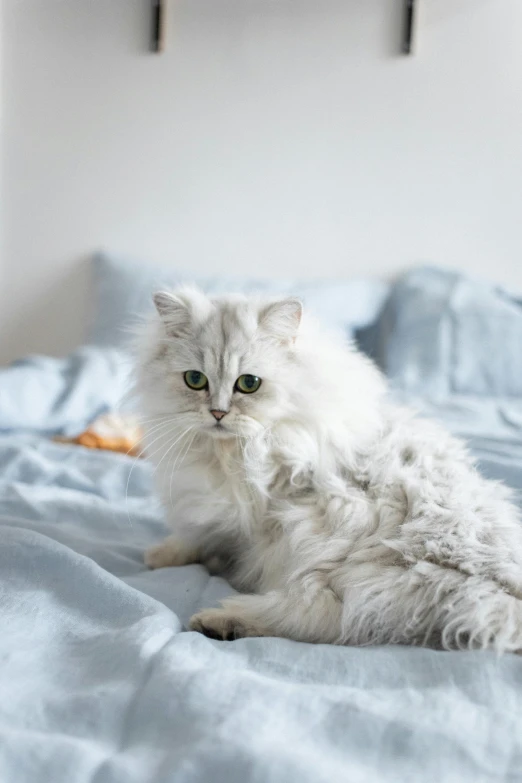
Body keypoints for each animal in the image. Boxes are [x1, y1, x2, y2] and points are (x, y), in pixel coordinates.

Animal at [135, 284, 522, 652]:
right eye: (195, 380)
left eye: (248, 384)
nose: (217, 413)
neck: (235, 452)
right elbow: (197, 538)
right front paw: (164, 556)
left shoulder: (242, 512)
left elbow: (200, 537)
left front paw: (164, 556)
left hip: (323, 545)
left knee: (320, 620)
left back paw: (219, 621)